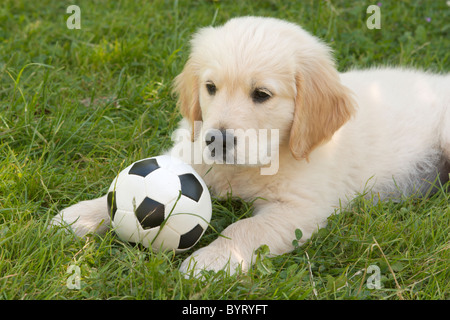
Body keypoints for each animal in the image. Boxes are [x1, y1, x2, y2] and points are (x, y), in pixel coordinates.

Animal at [52, 16, 450, 276]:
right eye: (210, 88)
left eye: (261, 94)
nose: (216, 139)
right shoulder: (189, 155)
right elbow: (122, 189)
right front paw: (81, 216)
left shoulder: (300, 208)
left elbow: (245, 228)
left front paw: (212, 260)